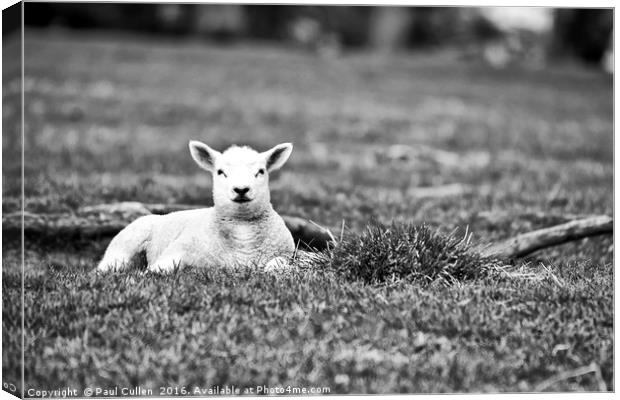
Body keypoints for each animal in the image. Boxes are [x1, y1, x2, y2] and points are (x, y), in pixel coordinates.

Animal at [98, 139, 296, 274]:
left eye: (261, 171)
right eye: (220, 172)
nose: (241, 189)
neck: (242, 230)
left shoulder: (286, 254)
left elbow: (276, 265)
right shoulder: (179, 248)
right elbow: (160, 268)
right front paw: (145, 274)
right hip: (125, 244)